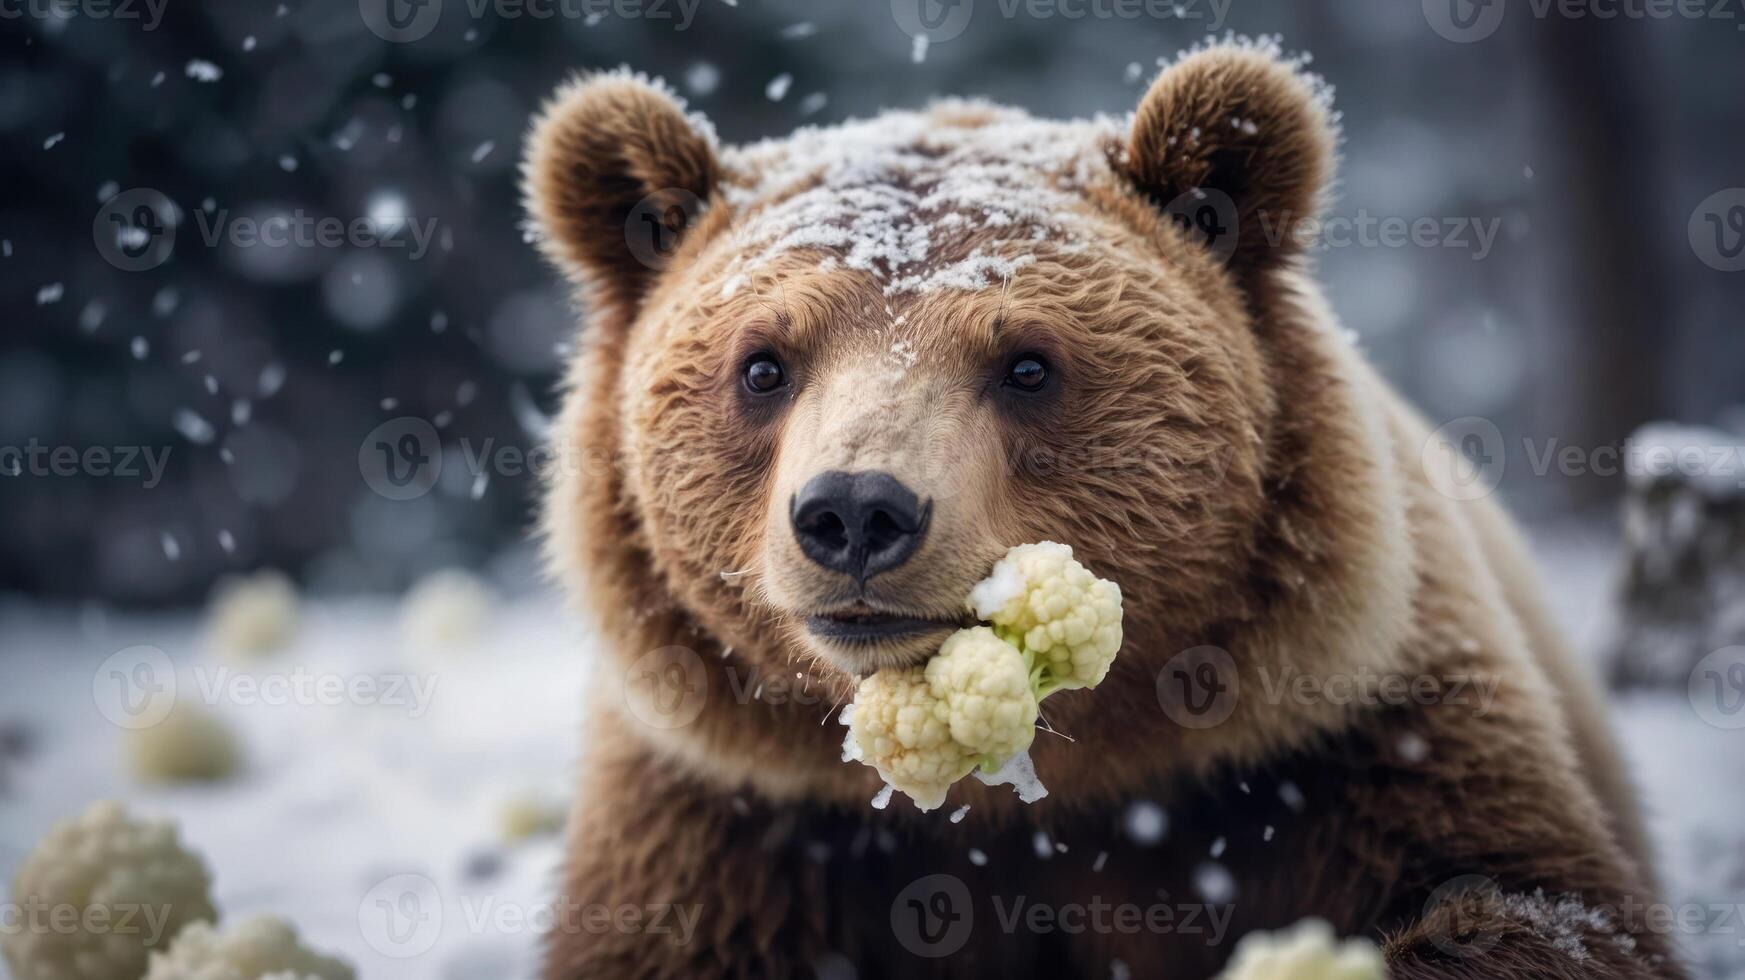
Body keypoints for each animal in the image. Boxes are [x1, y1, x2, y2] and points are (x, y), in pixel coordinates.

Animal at [523, 34, 1682, 969]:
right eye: (763, 363)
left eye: (1027, 364)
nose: (856, 512)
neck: (1042, 782)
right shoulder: (730, 814)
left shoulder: (1352, 738)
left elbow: (1529, 906)